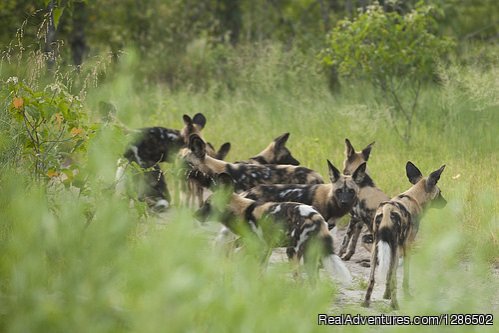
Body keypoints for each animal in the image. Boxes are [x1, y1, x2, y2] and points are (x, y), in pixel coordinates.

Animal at [195, 172, 352, 284]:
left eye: (207, 205)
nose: (194, 214)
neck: (243, 211)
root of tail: (316, 218)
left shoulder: (261, 248)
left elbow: (255, 271)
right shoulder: (261, 246)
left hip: (292, 253)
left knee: (300, 281)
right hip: (309, 258)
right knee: (313, 283)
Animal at [362, 161, 448, 308]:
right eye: (440, 192)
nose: (446, 203)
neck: (414, 197)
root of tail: (387, 210)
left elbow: (387, 276)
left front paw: (386, 295)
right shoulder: (407, 246)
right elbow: (404, 277)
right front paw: (406, 295)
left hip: (376, 249)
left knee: (372, 279)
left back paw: (366, 302)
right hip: (395, 250)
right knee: (393, 278)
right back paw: (395, 305)